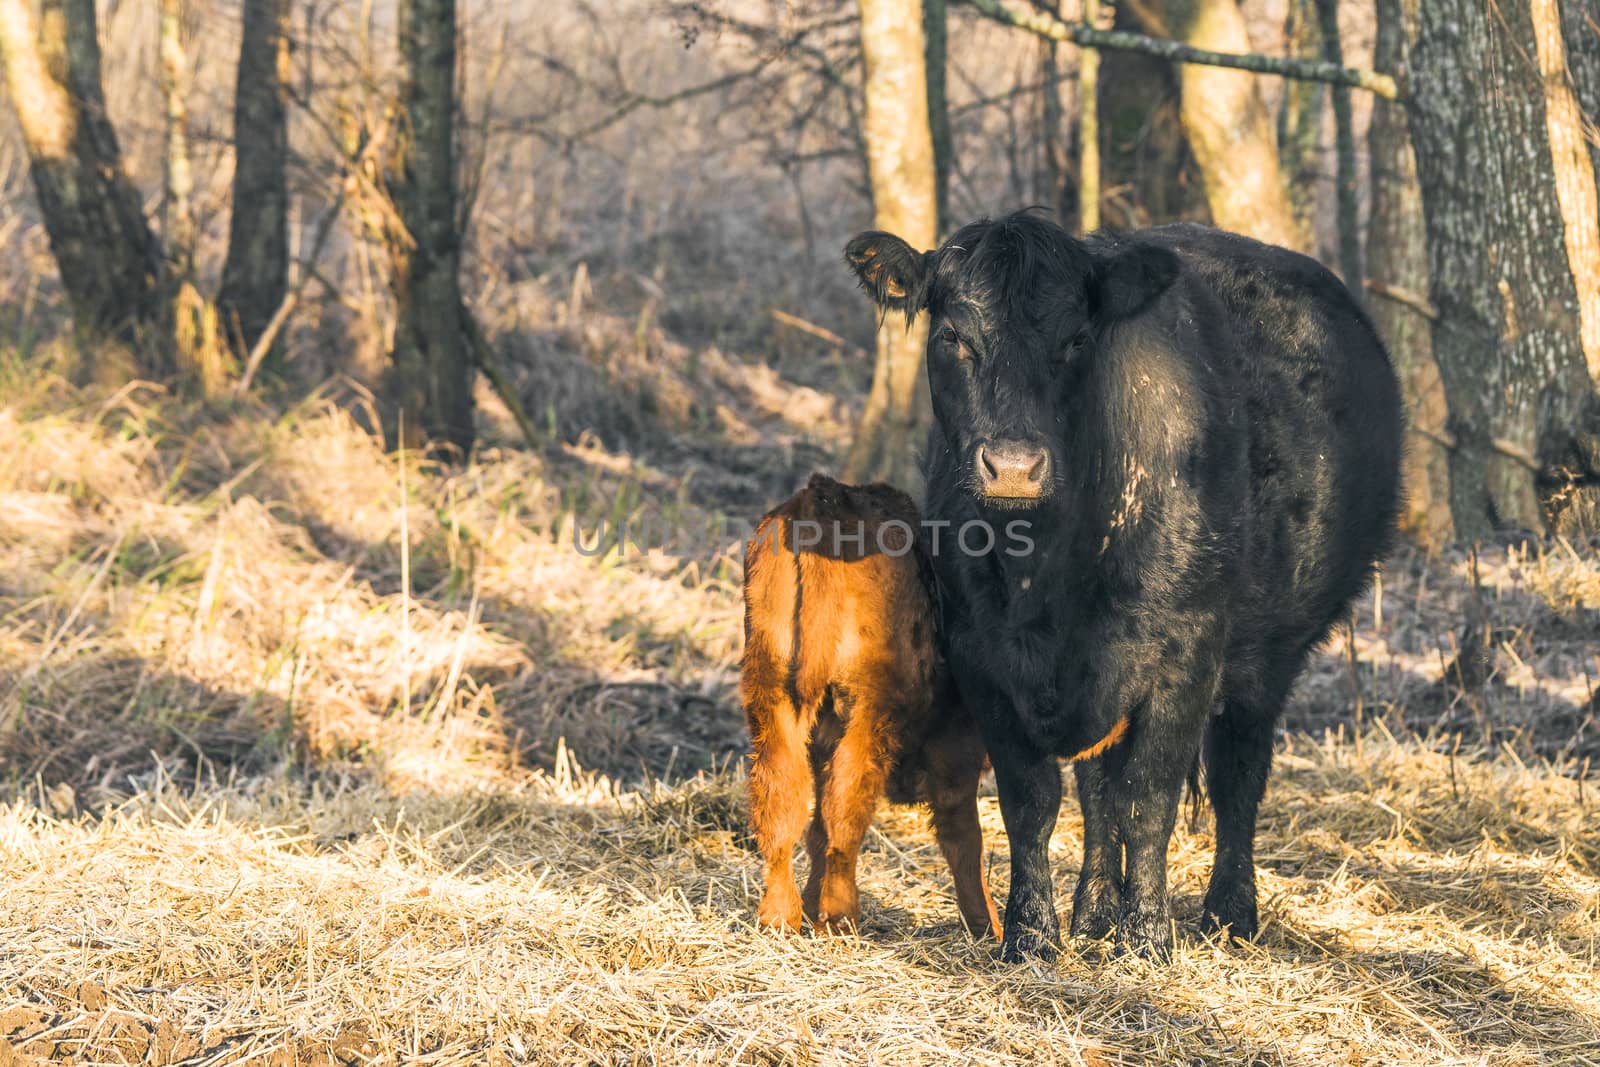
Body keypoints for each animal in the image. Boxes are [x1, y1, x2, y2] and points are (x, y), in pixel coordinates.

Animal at [739, 470, 992, 940]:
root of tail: (825, 497)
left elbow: (815, 830)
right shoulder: (957, 749)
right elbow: (964, 837)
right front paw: (990, 927)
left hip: (772, 692)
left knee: (781, 798)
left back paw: (781, 916)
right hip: (869, 706)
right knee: (847, 803)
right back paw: (840, 917)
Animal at [844, 211, 1395, 959]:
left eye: (1077, 338)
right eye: (952, 335)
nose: (1012, 467)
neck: (1043, 574)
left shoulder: (1188, 652)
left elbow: (1149, 797)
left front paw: (1149, 936)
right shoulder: (980, 655)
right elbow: (1034, 801)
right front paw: (1032, 935)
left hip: (1273, 652)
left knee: (1237, 775)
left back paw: (1228, 915)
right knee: (1097, 785)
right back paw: (1095, 912)